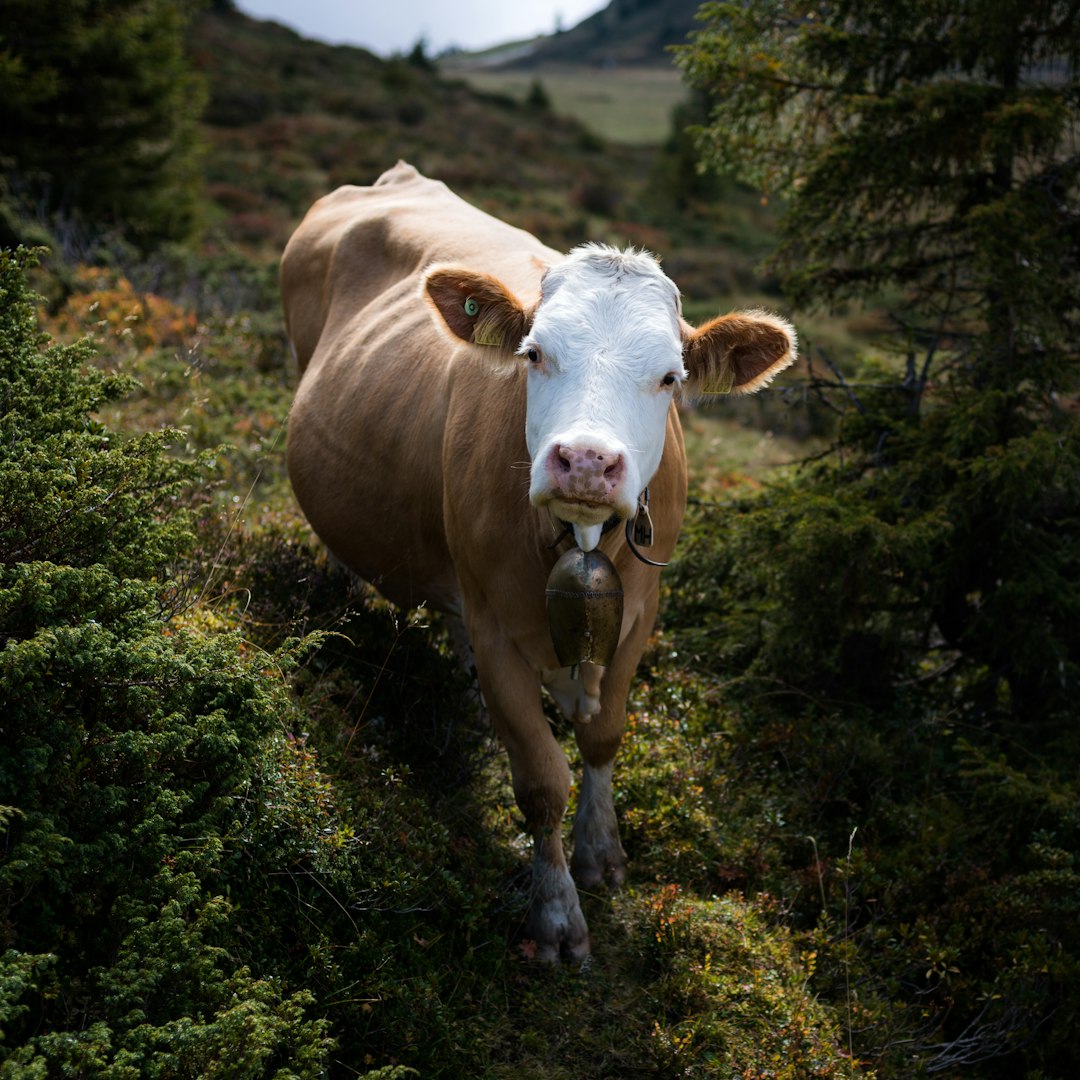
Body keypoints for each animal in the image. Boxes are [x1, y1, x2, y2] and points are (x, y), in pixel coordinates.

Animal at [282, 162, 799, 963]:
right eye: (534, 354)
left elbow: (603, 734)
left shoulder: (641, 613)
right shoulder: (498, 627)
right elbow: (539, 779)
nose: (586, 460)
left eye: (671, 377)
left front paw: (601, 854)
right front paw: (555, 914)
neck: (580, 543)